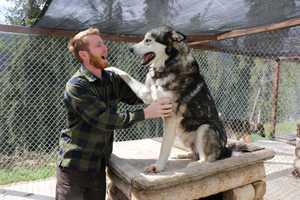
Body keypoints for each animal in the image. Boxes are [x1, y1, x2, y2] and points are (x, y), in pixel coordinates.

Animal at [106, 26, 233, 173]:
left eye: (148, 40)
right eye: (143, 38)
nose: (130, 49)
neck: (167, 66)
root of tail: (224, 149)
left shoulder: (170, 116)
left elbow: (164, 147)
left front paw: (158, 167)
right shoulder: (146, 94)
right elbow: (125, 74)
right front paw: (108, 67)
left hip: (205, 128)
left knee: (208, 159)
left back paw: (195, 165)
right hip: (183, 135)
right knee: (195, 154)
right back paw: (185, 155)